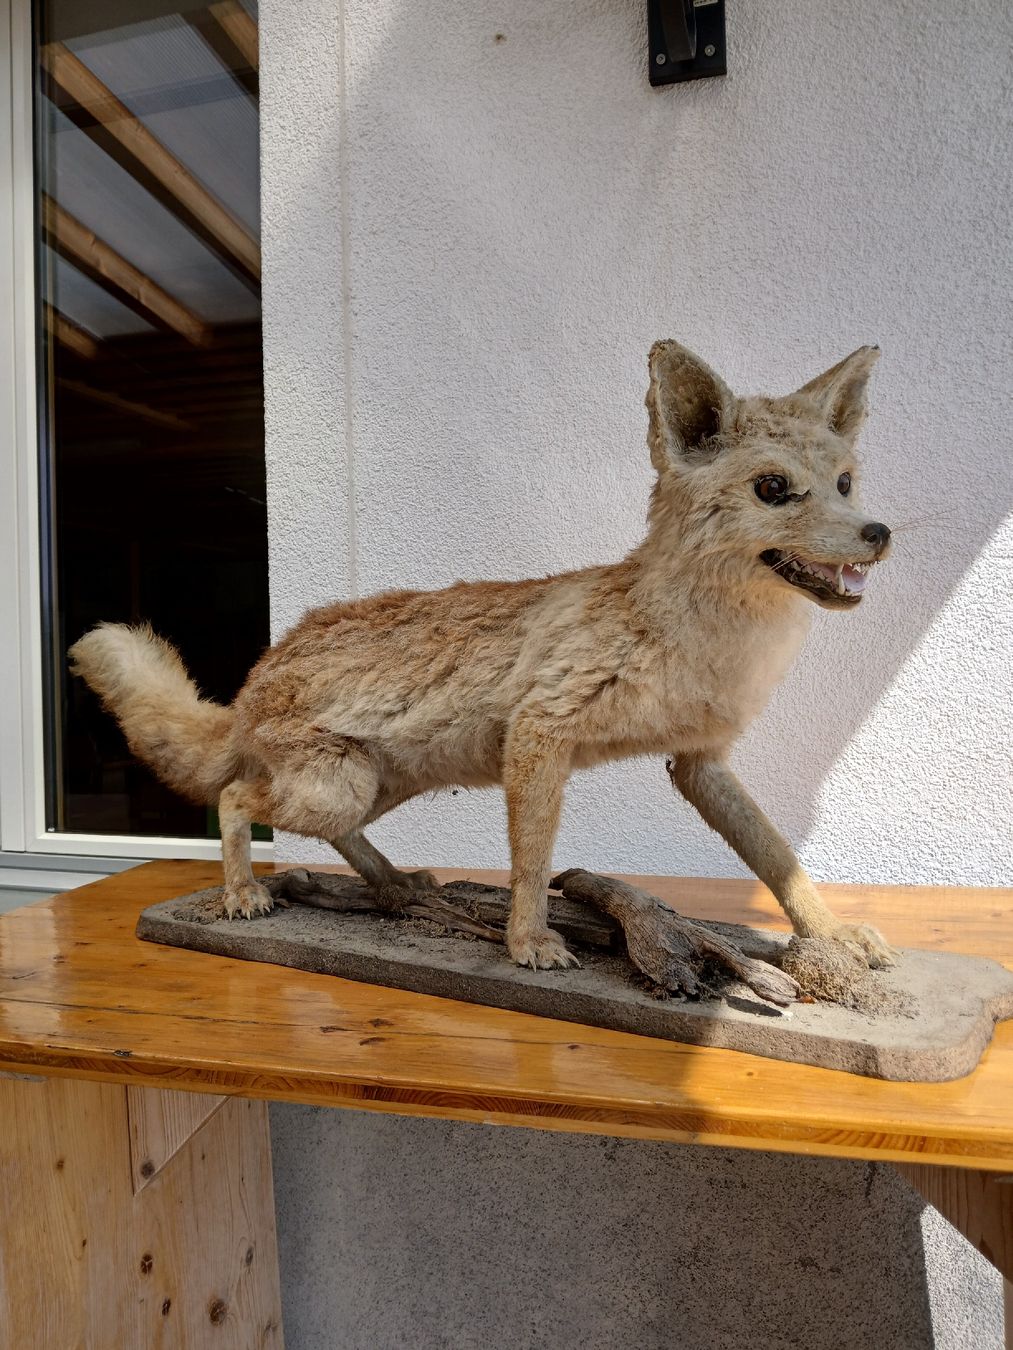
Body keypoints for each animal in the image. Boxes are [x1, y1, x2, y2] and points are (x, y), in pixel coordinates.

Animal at [70, 340, 896, 971]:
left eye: (845, 485)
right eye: (772, 488)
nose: (878, 532)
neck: (698, 640)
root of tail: (259, 673)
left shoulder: (701, 762)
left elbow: (776, 856)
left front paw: (831, 934)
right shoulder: (539, 734)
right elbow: (530, 862)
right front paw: (528, 943)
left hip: (376, 786)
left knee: (331, 831)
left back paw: (397, 888)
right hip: (334, 786)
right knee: (236, 798)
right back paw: (244, 893)